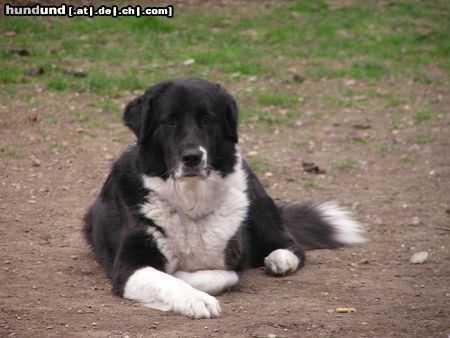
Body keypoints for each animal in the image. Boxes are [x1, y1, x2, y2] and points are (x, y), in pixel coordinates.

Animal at [83, 79, 366, 320]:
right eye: (169, 122)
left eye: (208, 120)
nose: (192, 157)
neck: (191, 203)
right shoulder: (128, 267)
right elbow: (167, 279)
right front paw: (196, 299)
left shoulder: (236, 260)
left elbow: (222, 275)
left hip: (257, 203)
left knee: (290, 243)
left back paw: (280, 259)